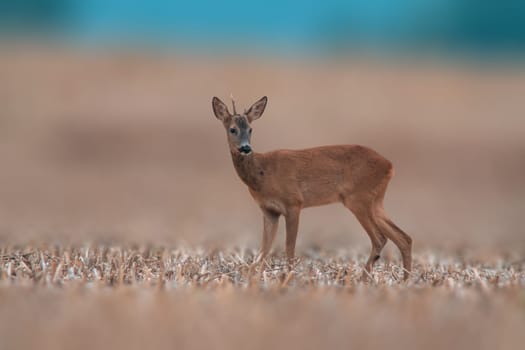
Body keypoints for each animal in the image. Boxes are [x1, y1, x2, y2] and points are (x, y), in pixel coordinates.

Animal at [211, 95, 412, 278]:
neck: (262, 173)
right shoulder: (269, 211)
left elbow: (289, 246)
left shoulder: (293, 202)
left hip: (359, 199)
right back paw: (404, 280)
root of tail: (390, 165)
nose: (245, 148)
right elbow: (263, 250)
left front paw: (288, 277)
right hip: (375, 201)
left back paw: (364, 278)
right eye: (233, 129)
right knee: (403, 237)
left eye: (250, 129)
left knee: (380, 238)